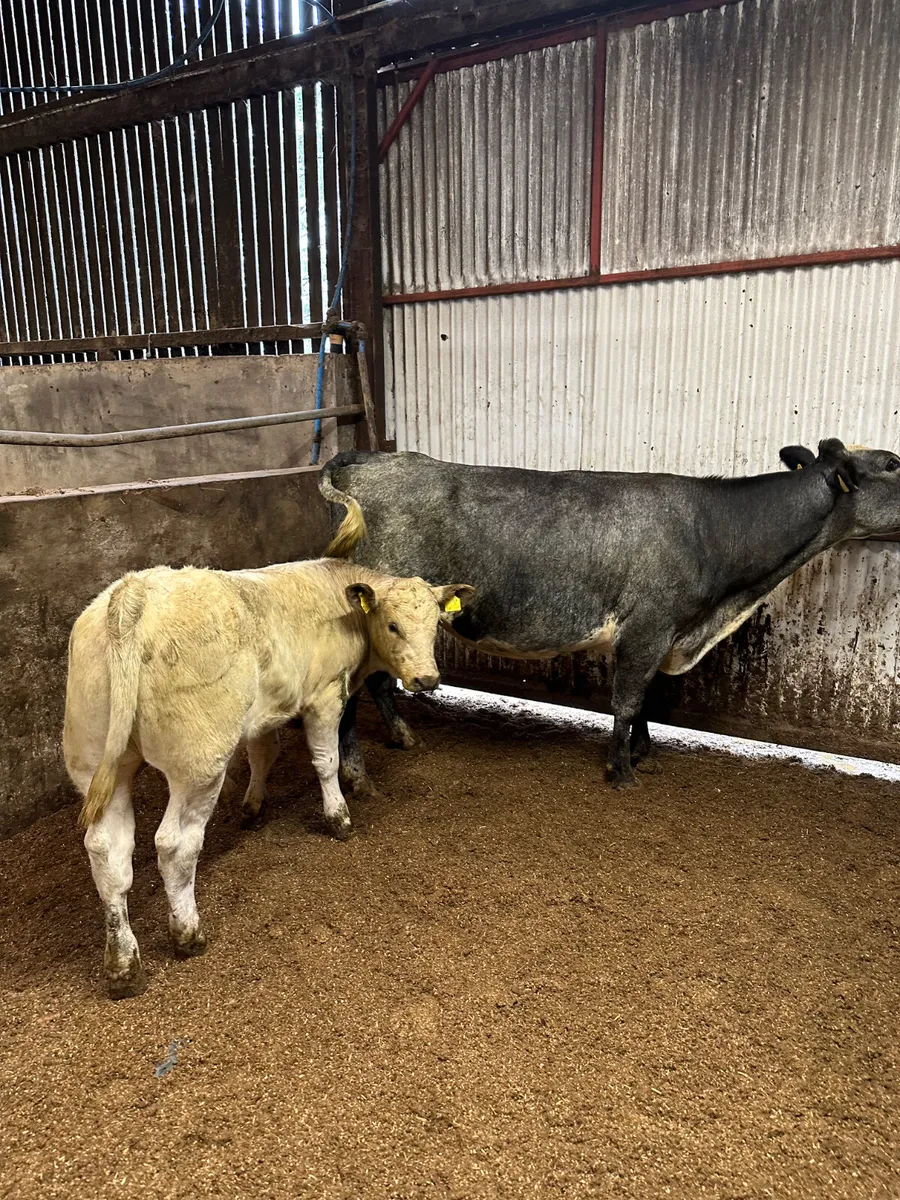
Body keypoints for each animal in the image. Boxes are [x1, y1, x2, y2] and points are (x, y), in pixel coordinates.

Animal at [64, 558, 474, 998]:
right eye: (393, 625)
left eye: (435, 625)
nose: (426, 679)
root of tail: (134, 590)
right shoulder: (325, 695)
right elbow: (326, 761)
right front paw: (339, 817)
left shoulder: (265, 711)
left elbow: (263, 754)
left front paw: (253, 807)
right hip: (198, 764)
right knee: (175, 846)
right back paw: (188, 934)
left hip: (95, 761)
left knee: (108, 853)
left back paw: (123, 966)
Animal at [319, 439, 900, 795]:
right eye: (893, 463)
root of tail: (373, 461)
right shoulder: (649, 626)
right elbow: (626, 701)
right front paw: (621, 771)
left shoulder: (656, 633)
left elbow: (643, 700)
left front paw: (644, 753)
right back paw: (362, 769)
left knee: (379, 683)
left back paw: (400, 735)